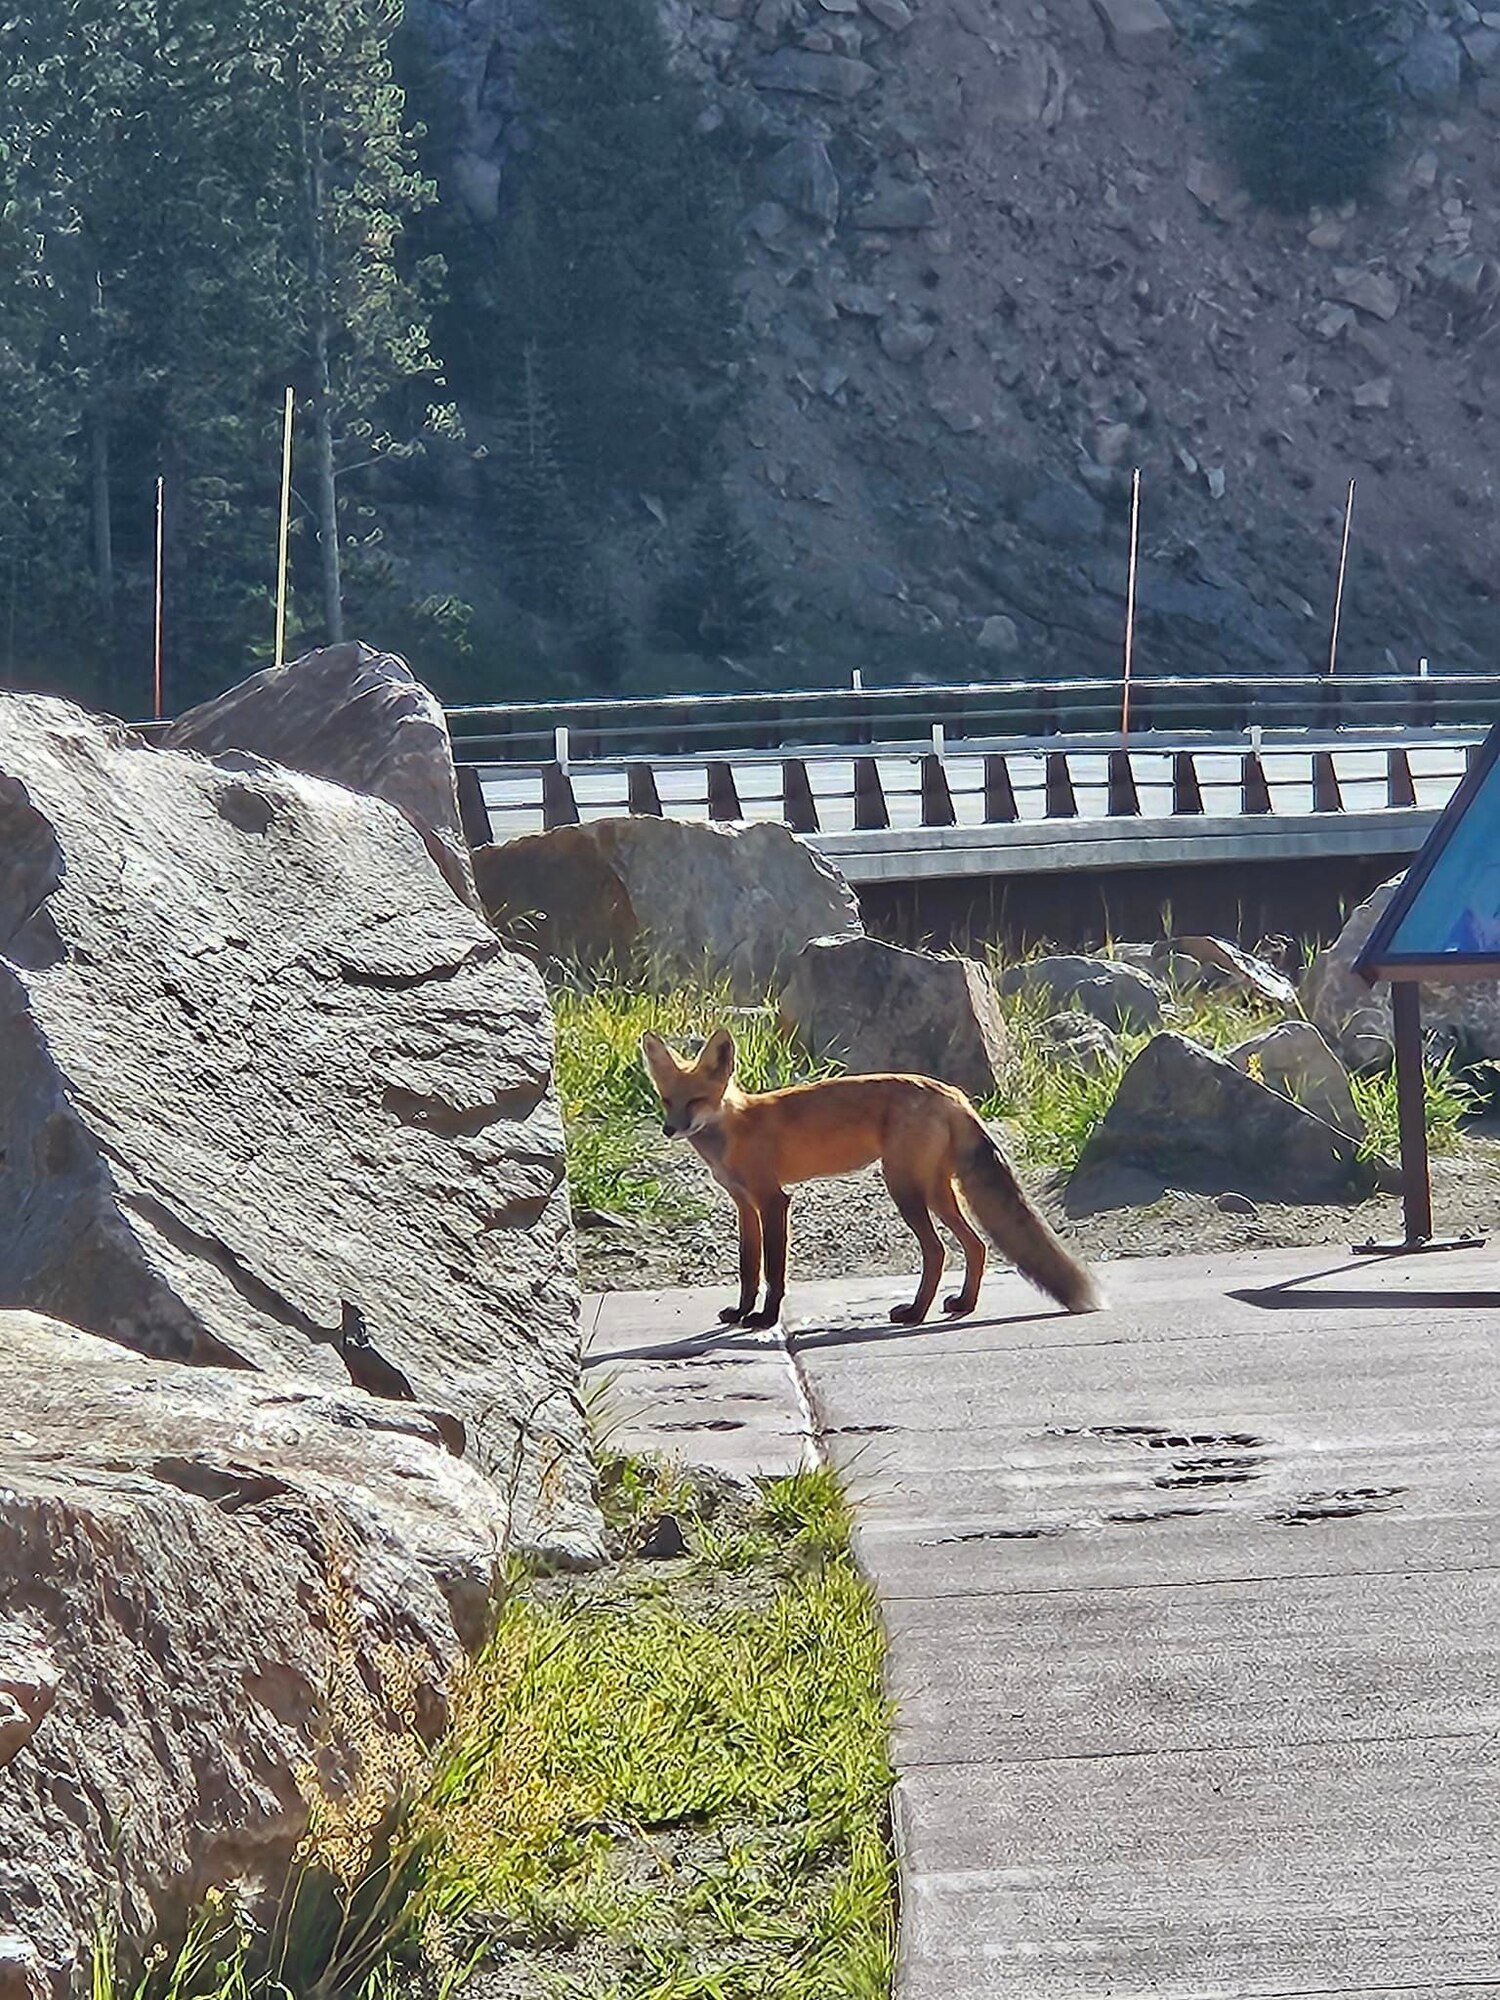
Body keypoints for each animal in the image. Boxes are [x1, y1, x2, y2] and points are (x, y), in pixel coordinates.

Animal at [636, 1032, 1104, 1328]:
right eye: (667, 1099)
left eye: (696, 1101)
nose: (669, 1129)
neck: (735, 1128)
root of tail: (953, 1094)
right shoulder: (744, 1205)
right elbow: (749, 1268)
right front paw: (740, 1313)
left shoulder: (772, 1201)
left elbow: (774, 1271)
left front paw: (765, 1319)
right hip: (937, 1192)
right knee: (976, 1245)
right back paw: (963, 1305)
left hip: (905, 1190)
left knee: (937, 1251)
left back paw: (915, 1313)